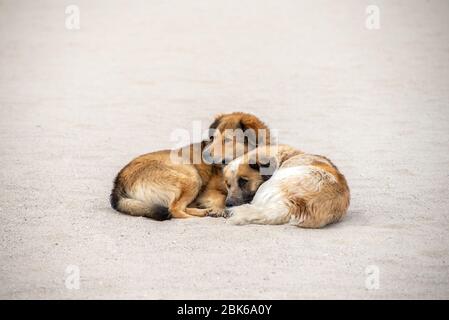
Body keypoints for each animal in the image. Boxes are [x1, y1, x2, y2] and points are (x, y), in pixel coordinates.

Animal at [109, 112, 270, 220]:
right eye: (212, 138)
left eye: (227, 140)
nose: (204, 155)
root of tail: (118, 182)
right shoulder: (209, 191)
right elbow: (221, 197)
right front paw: (219, 208)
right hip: (192, 176)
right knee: (174, 209)